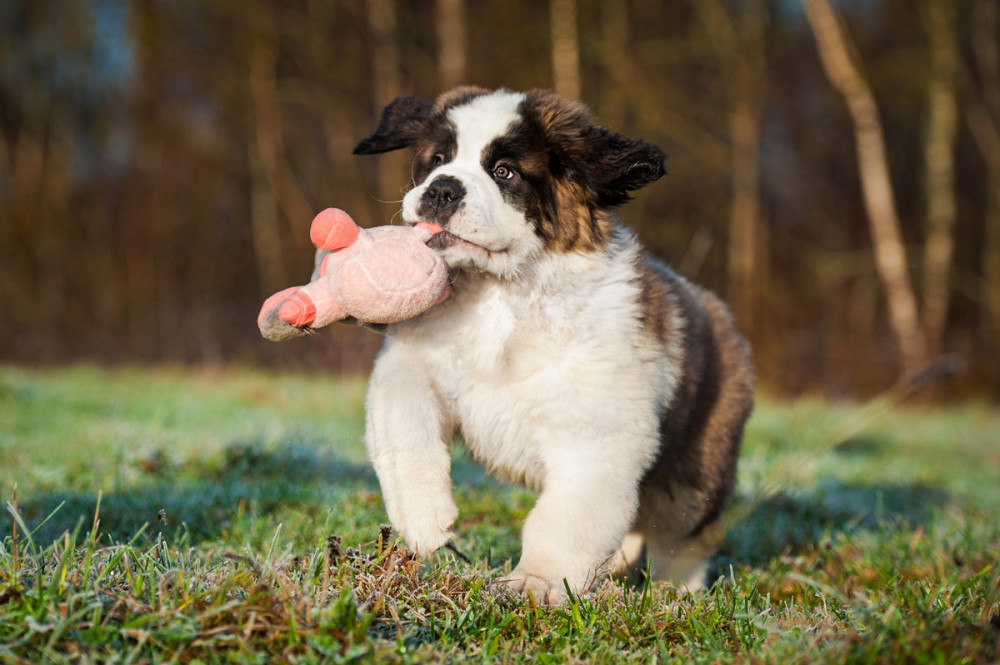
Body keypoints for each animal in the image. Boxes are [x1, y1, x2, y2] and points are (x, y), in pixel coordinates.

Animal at [352, 85, 752, 604]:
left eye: (504, 172)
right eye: (437, 160)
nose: (442, 190)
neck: (501, 294)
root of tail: (721, 314)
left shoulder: (597, 436)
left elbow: (565, 519)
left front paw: (536, 584)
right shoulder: (410, 363)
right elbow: (404, 429)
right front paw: (422, 519)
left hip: (694, 474)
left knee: (683, 537)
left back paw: (675, 594)